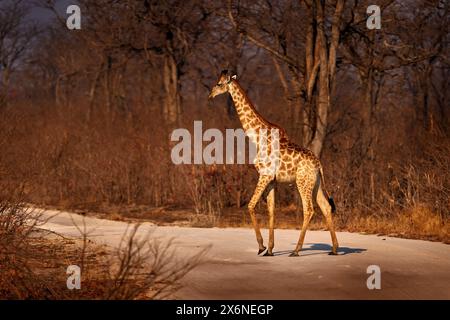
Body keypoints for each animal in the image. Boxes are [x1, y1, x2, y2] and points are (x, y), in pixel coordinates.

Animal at [207, 70, 338, 258]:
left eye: (219, 83)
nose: (210, 95)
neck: (257, 137)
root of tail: (319, 164)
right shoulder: (272, 180)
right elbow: (271, 211)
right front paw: (269, 249)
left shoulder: (265, 175)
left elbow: (251, 205)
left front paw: (261, 247)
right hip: (316, 183)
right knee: (326, 207)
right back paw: (334, 249)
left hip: (303, 182)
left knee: (309, 209)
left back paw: (296, 250)